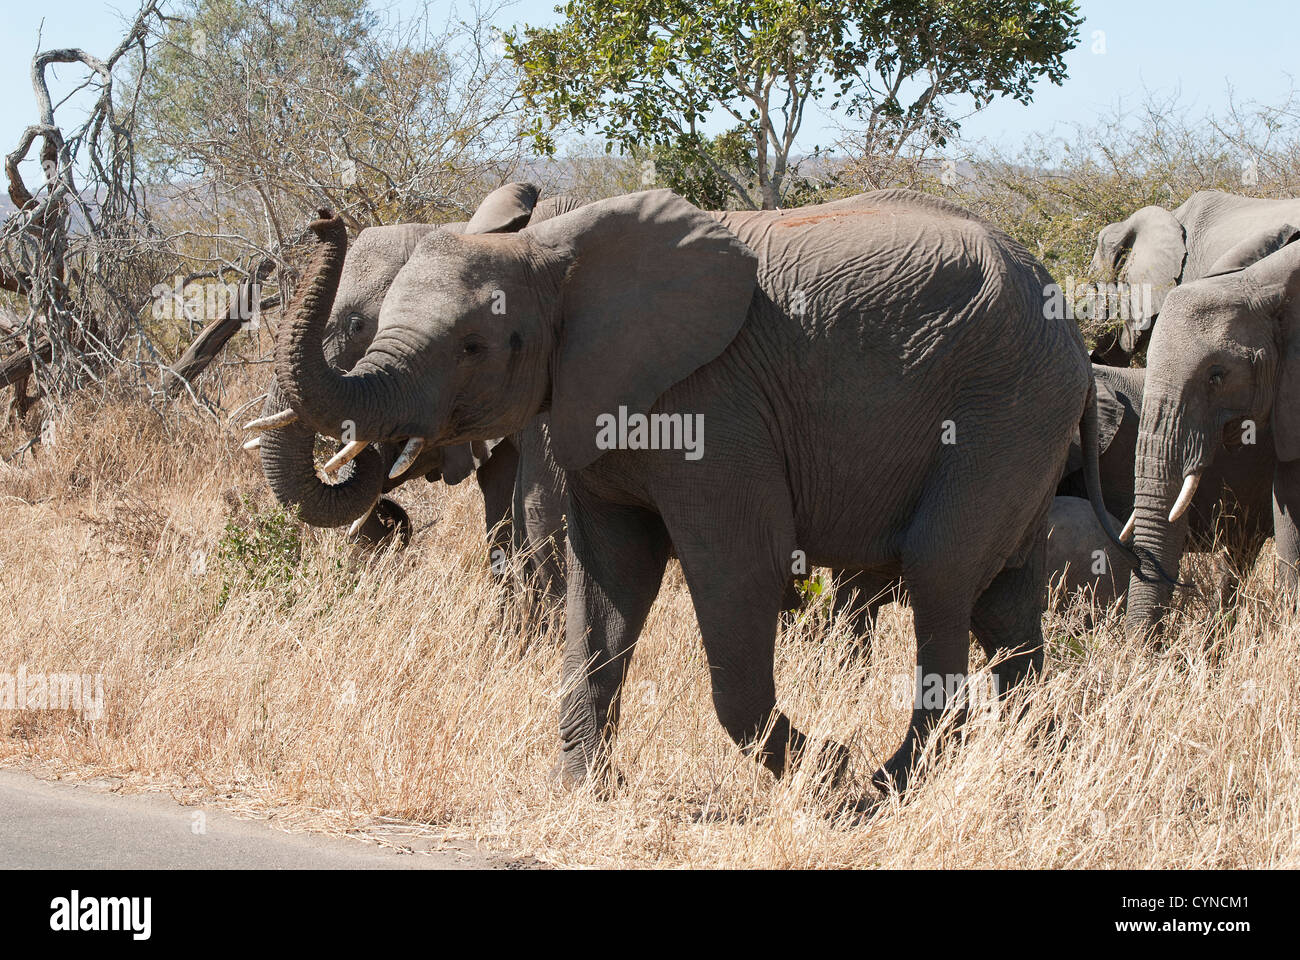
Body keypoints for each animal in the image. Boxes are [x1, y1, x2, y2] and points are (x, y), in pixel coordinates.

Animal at [258, 187, 1123, 790]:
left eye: (474, 346)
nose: (324, 220)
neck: (551, 251)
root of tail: (1073, 333)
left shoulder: (715, 408)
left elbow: (737, 571)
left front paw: (828, 771)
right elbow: (609, 579)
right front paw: (584, 794)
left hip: (1003, 411)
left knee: (941, 574)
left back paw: (889, 786)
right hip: (1024, 425)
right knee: (1004, 604)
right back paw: (1038, 782)